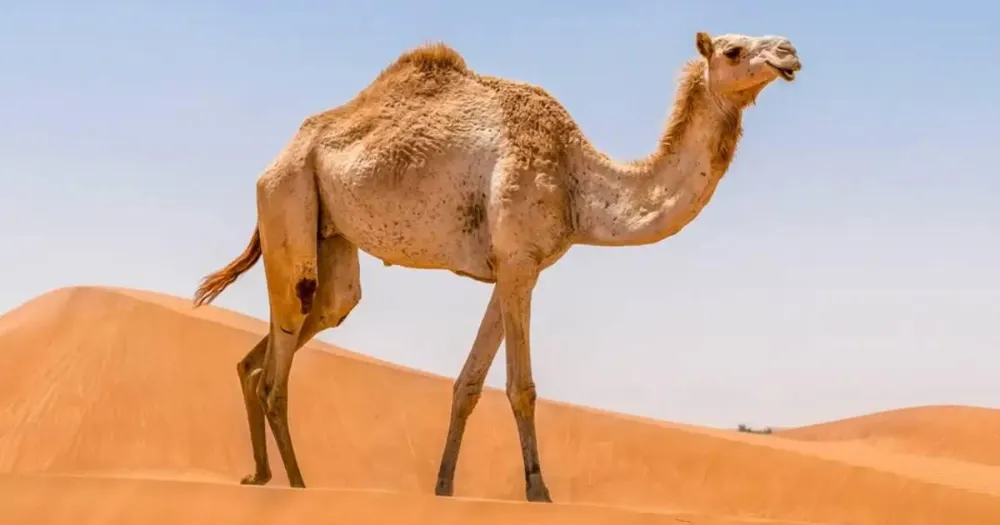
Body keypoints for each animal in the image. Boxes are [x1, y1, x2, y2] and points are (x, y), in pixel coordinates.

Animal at [191, 31, 802, 503]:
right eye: (733, 49)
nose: (790, 53)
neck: (578, 181)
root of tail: (279, 156)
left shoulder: (509, 267)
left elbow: (468, 383)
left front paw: (443, 488)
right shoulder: (519, 263)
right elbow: (520, 386)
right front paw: (539, 491)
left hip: (329, 234)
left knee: (309, 321)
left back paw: (259, 474)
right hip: (286, 196)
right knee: (282, 353)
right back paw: (297, 486)